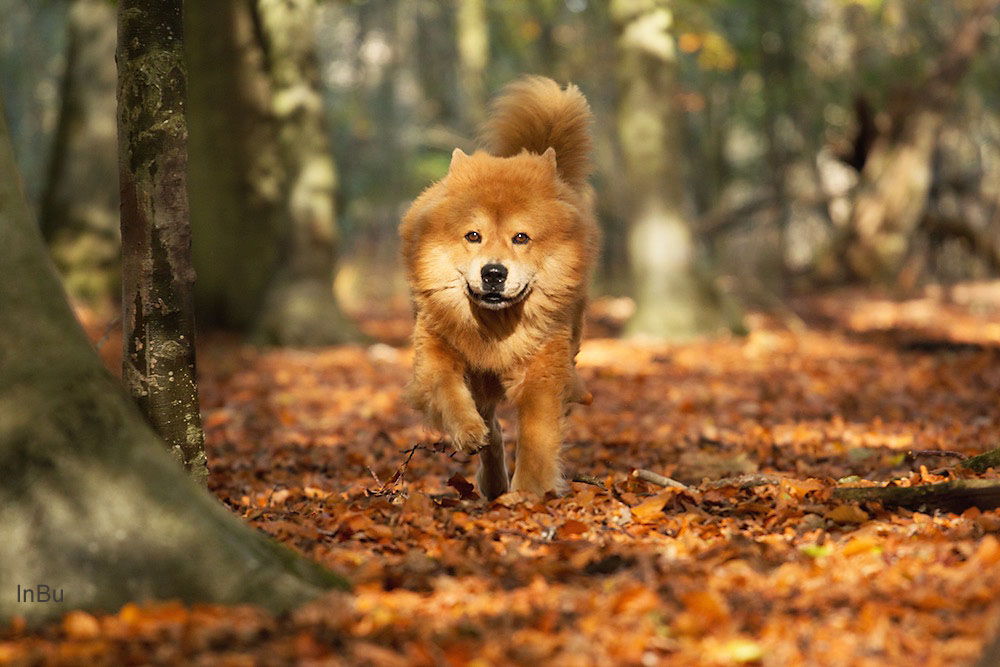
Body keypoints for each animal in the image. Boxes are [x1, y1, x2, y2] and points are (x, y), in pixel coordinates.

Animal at [400, 75, 600, 498]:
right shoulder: (435, 350)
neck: (494, 328)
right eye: (473, 235)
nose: (493, 272)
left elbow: (538, 433)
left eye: (521, 237)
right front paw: (467, 431)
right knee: (491, 423)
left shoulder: (542, 369)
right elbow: (448, 389)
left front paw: (529, 491)